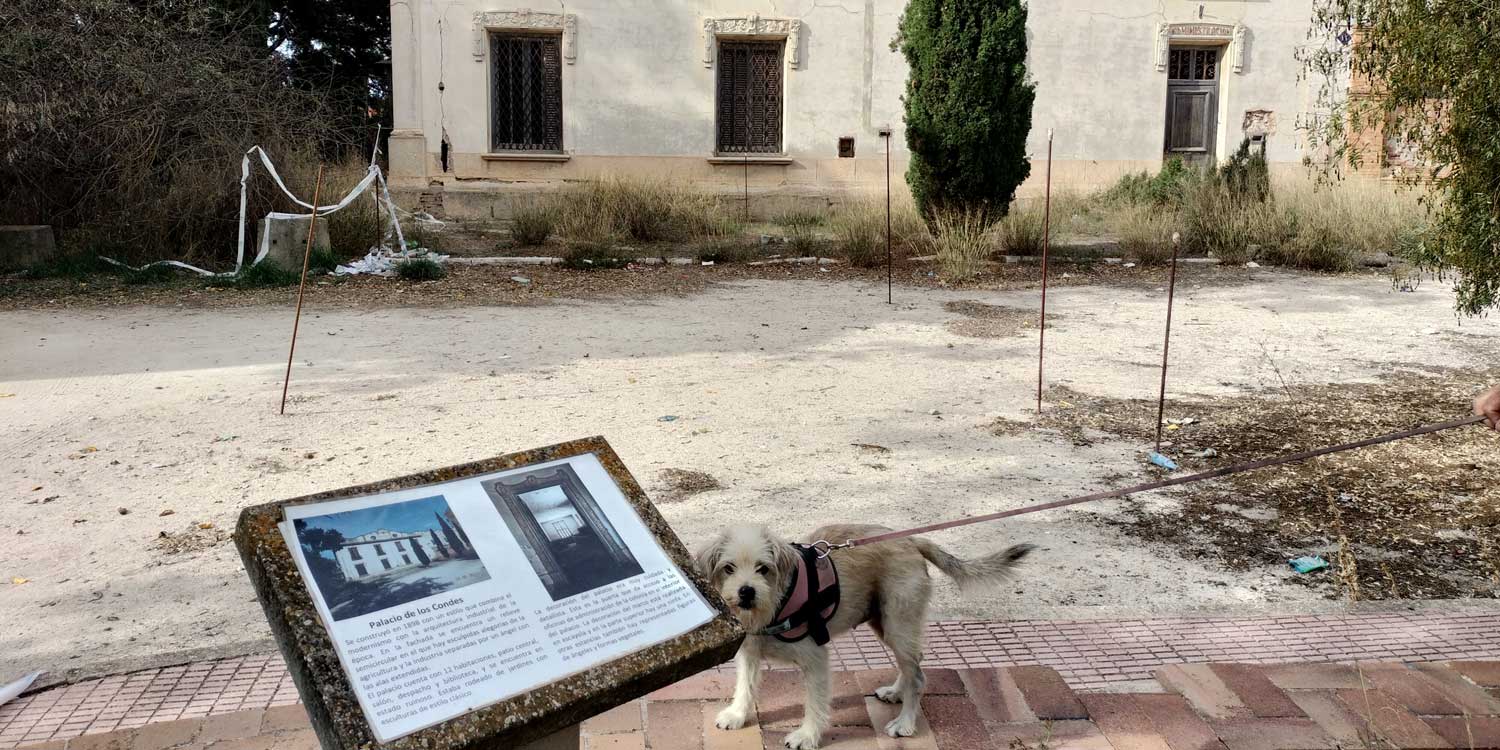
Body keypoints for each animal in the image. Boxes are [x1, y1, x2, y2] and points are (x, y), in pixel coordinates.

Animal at [699, 525, 1032, 747]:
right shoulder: (749, 655)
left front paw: (807, 735)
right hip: (885, 625)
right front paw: (738, 714)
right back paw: (896, 692)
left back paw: (905, 723)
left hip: (898, 624)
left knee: (918, 675)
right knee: (913, 664)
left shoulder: (816, 660)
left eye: (763, 568)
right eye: (728, 568)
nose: (746, 592)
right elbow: (745, 688)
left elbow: (815, 703)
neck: (772, 608)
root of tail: (910, 540)